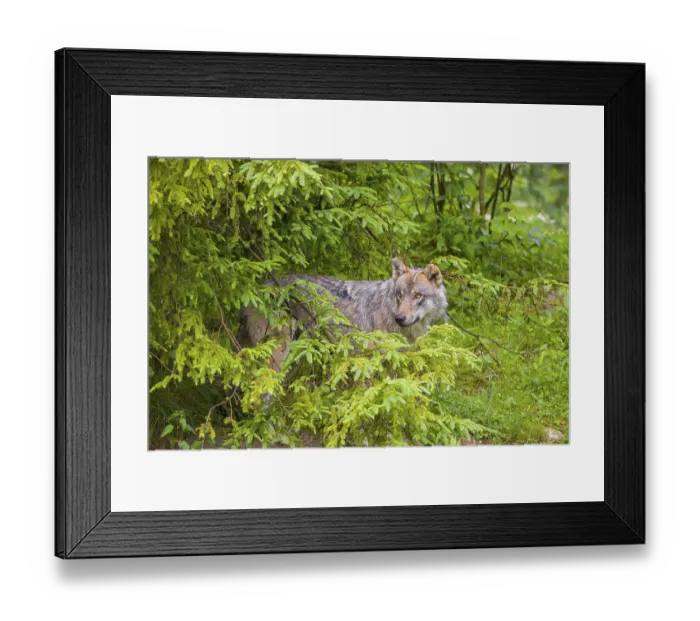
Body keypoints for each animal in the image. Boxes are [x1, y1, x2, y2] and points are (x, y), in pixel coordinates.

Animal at [237, 258, 448, 370]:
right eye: (400, 295)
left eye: (418, 296)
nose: (400, 318)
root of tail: (254, 292)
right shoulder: (369, 358)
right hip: (280, 351)